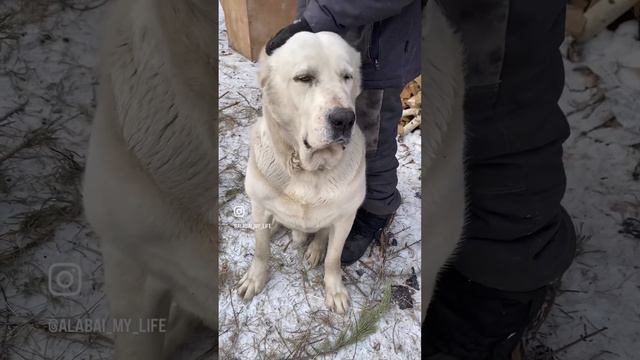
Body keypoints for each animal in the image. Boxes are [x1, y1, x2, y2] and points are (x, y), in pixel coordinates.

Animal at [238, 32, 364, 314]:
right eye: (304, 78)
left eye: (346, 77)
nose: (344, 119)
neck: (308, 169)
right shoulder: (258, 205)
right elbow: (261, 249)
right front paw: (255, 278)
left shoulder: (346, 218)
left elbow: (333, 258)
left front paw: (334, 290)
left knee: (322, 234)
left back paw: (315, 249)